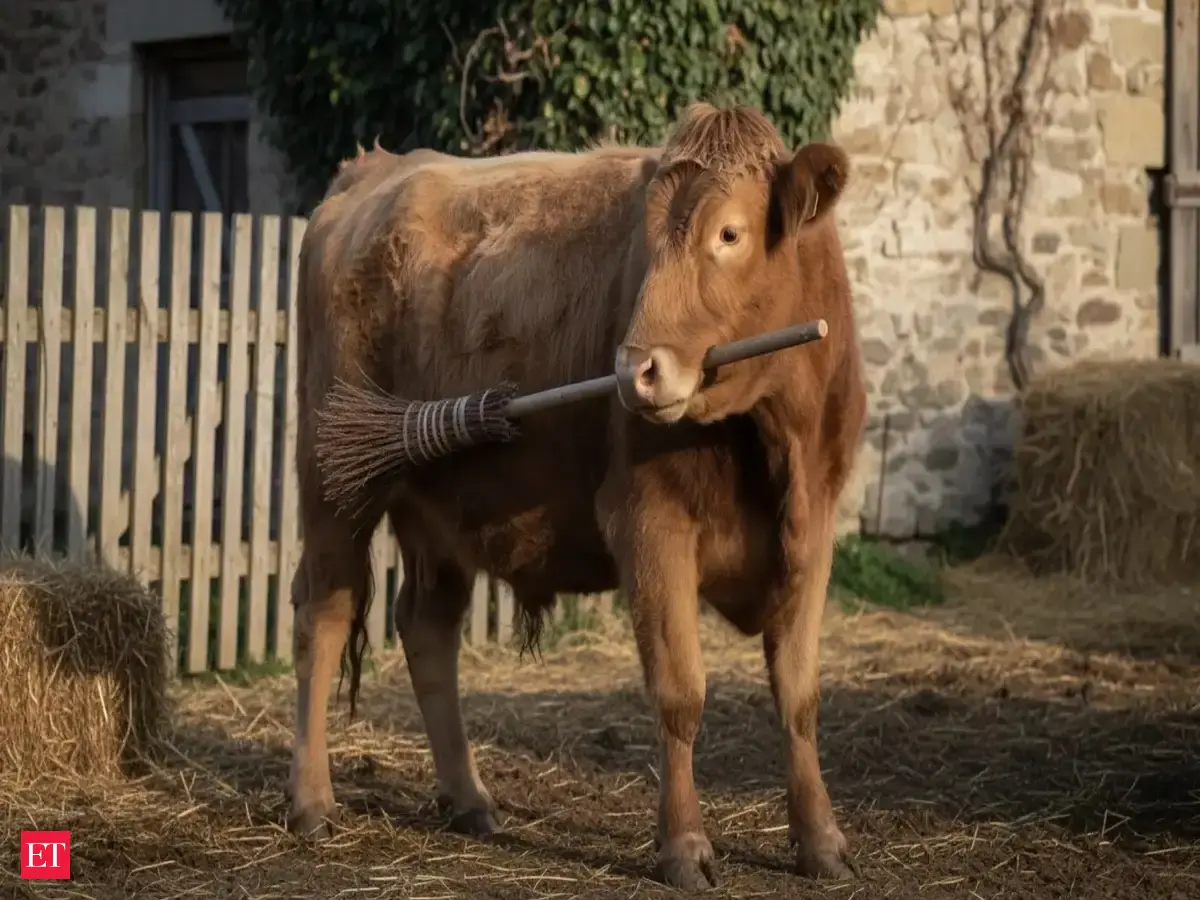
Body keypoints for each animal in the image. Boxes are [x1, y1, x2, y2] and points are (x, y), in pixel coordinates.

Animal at [287, 102, 867, 891]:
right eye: (645, 244)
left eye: (729, 233)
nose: (634, 370)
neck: (777, 433)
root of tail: (372, 172)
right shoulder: (650, 524)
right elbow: (680, 692)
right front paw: (684, 845)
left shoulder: (814, 534)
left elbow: (799, 696)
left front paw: (820, 839)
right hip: (334, 479)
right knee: (324, 615)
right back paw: (312, 801)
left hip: (438, 505)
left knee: (427, 628)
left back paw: (468, 799)